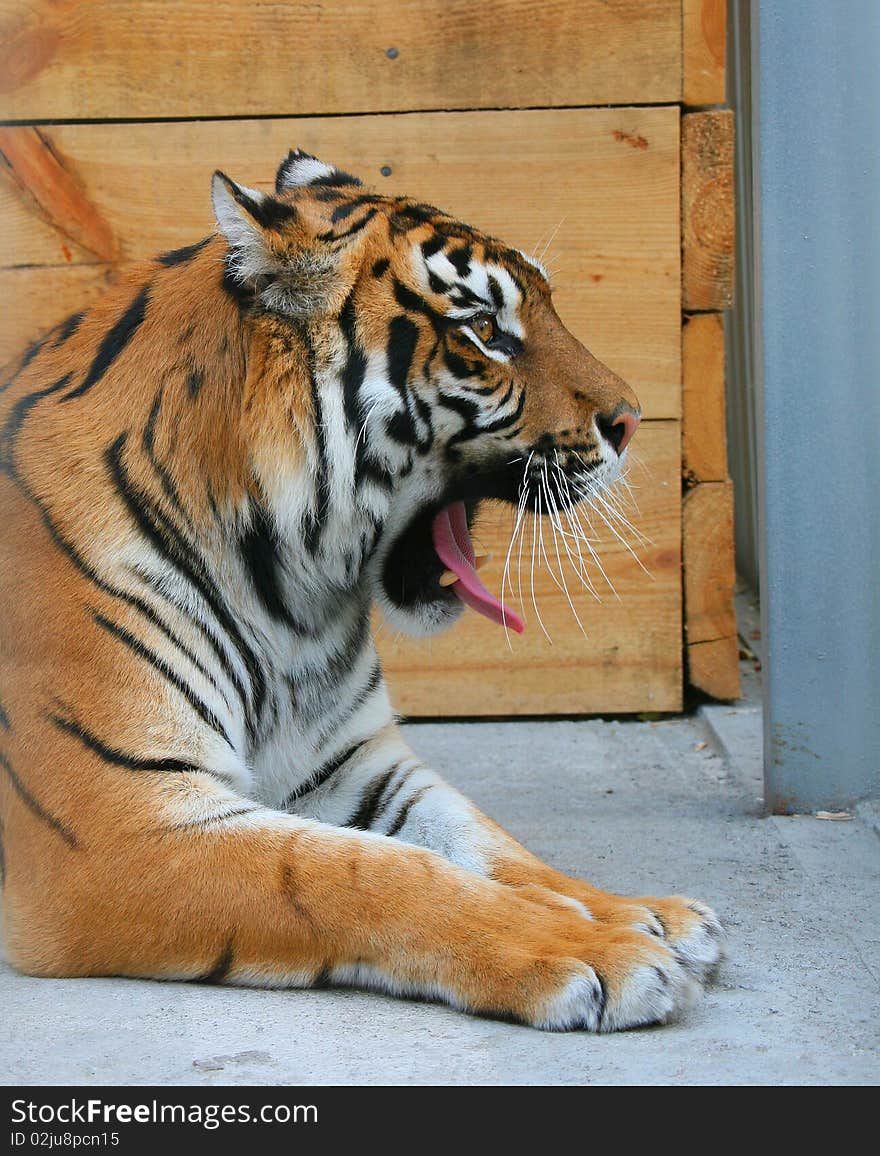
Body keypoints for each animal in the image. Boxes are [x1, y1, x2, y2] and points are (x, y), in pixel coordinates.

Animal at [0, 151, 721, 1031]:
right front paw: (597, 949)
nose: (632, 420)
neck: (285, 593)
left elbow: (491, 844)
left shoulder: (356, 764)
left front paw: (642, 913)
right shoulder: (115, 821)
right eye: (485, 331)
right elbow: (368, 872)